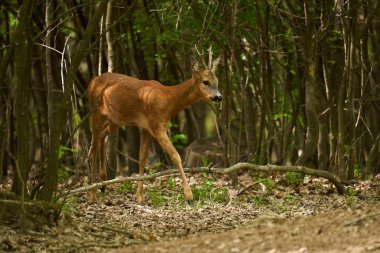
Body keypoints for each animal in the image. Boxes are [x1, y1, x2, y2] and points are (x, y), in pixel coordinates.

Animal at [87, 47, 221, 203]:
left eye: (217, 81)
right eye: (205, 82)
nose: (219, 97)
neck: (169, 99)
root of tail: (92, 82)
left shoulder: (146, 127)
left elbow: (142, 158)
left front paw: (139, 196)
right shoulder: (157, 126)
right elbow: (175, 156)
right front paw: (189, 196)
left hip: (115, 119)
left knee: (101, 137)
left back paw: (103, 183)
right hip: (95, 111)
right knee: (94, 145)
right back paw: (93, 193)